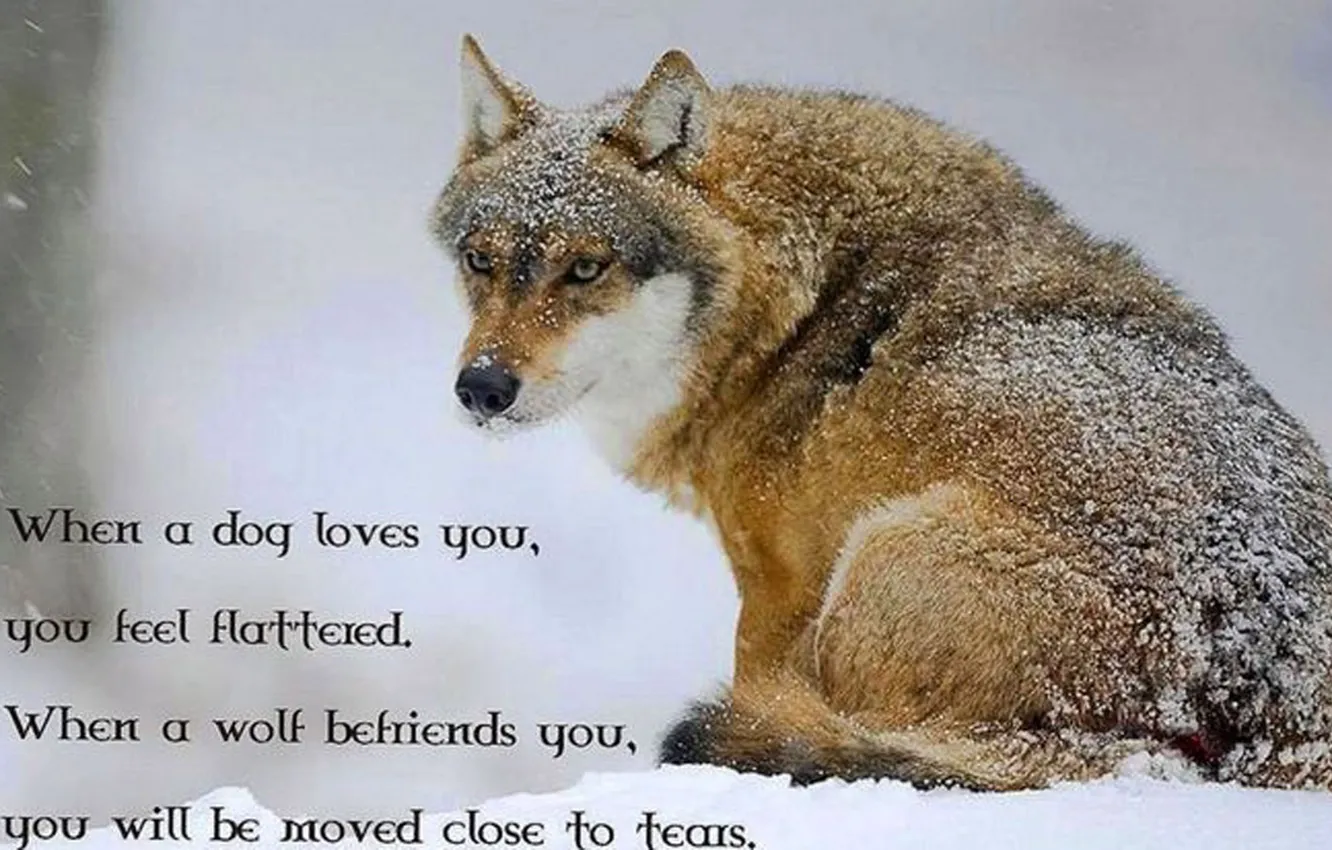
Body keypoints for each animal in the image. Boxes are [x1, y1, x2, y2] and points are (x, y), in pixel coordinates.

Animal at [430, 35, 1332, 790]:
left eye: (585, 269)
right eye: (480, 261)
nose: (482, 387)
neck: (788, 310)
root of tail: (1276, 688)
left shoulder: (776, 593)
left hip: (874, 559)